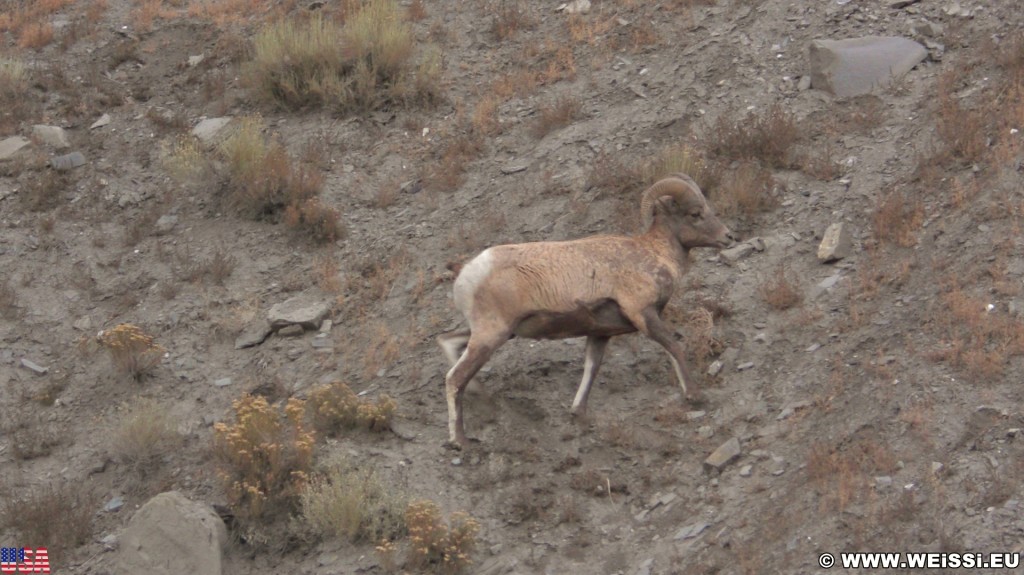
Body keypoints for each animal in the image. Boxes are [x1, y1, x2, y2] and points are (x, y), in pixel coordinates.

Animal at [436, 171, 733, 446]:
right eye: (695, 213)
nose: (728, 236)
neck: (653, 253)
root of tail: (465, 271)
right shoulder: (643, 314)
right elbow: (674, 347)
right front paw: (694, 396)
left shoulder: (600, 334)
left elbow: (591, 369)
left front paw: (578, 413)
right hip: (492, 334)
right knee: (454, 378)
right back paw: (460, 441)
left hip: (499, 333)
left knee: (448, 342)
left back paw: (478, 396)